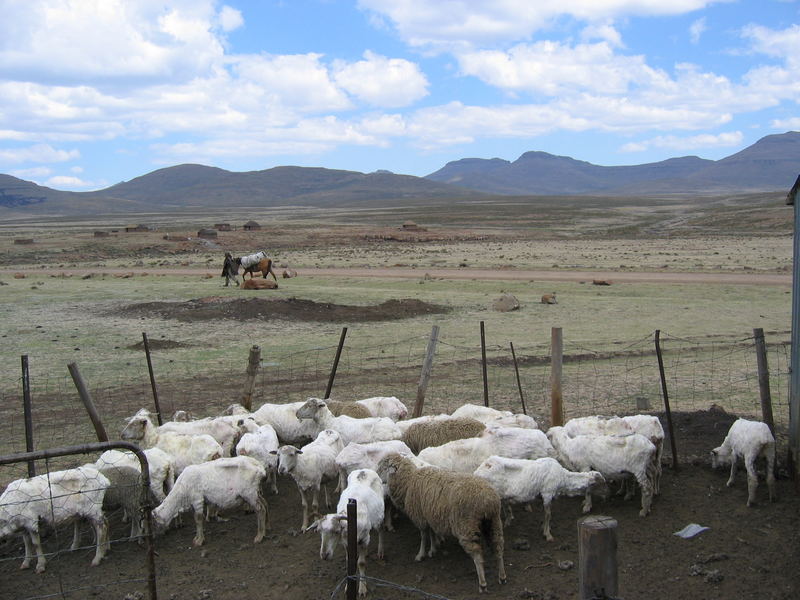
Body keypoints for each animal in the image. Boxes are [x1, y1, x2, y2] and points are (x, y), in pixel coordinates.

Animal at [304, 468, 386, 596]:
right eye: (319, 531)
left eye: (336, 531)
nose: (324, 555)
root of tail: (364, 470)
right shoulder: (346, 543)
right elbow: (349, 562)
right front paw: (349, 586)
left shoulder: (364, 538)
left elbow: (361, 563)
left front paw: (362, 588)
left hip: (380, 515)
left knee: (381, 529)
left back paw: (380, 550)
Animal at [376, 454, 506, 592]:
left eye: (383, 467)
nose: (377, 477)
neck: (409, 481)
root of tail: (488, 500)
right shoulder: (430, 516)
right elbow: (432, 533)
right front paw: (433, 549)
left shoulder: (421, 517)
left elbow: (423, 536)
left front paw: (421, 554)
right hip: (494, 522)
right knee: (498, 547)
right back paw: (502, 577)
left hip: (466, 527)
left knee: (477, 556)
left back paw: (482, 583)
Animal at [472, 458, 608, 540]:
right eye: (601, 482)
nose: (608, 494)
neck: (564, 478)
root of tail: (479, 470)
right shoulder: (547, 493)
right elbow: (548, 514)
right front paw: (548, 534)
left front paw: (545, 528)